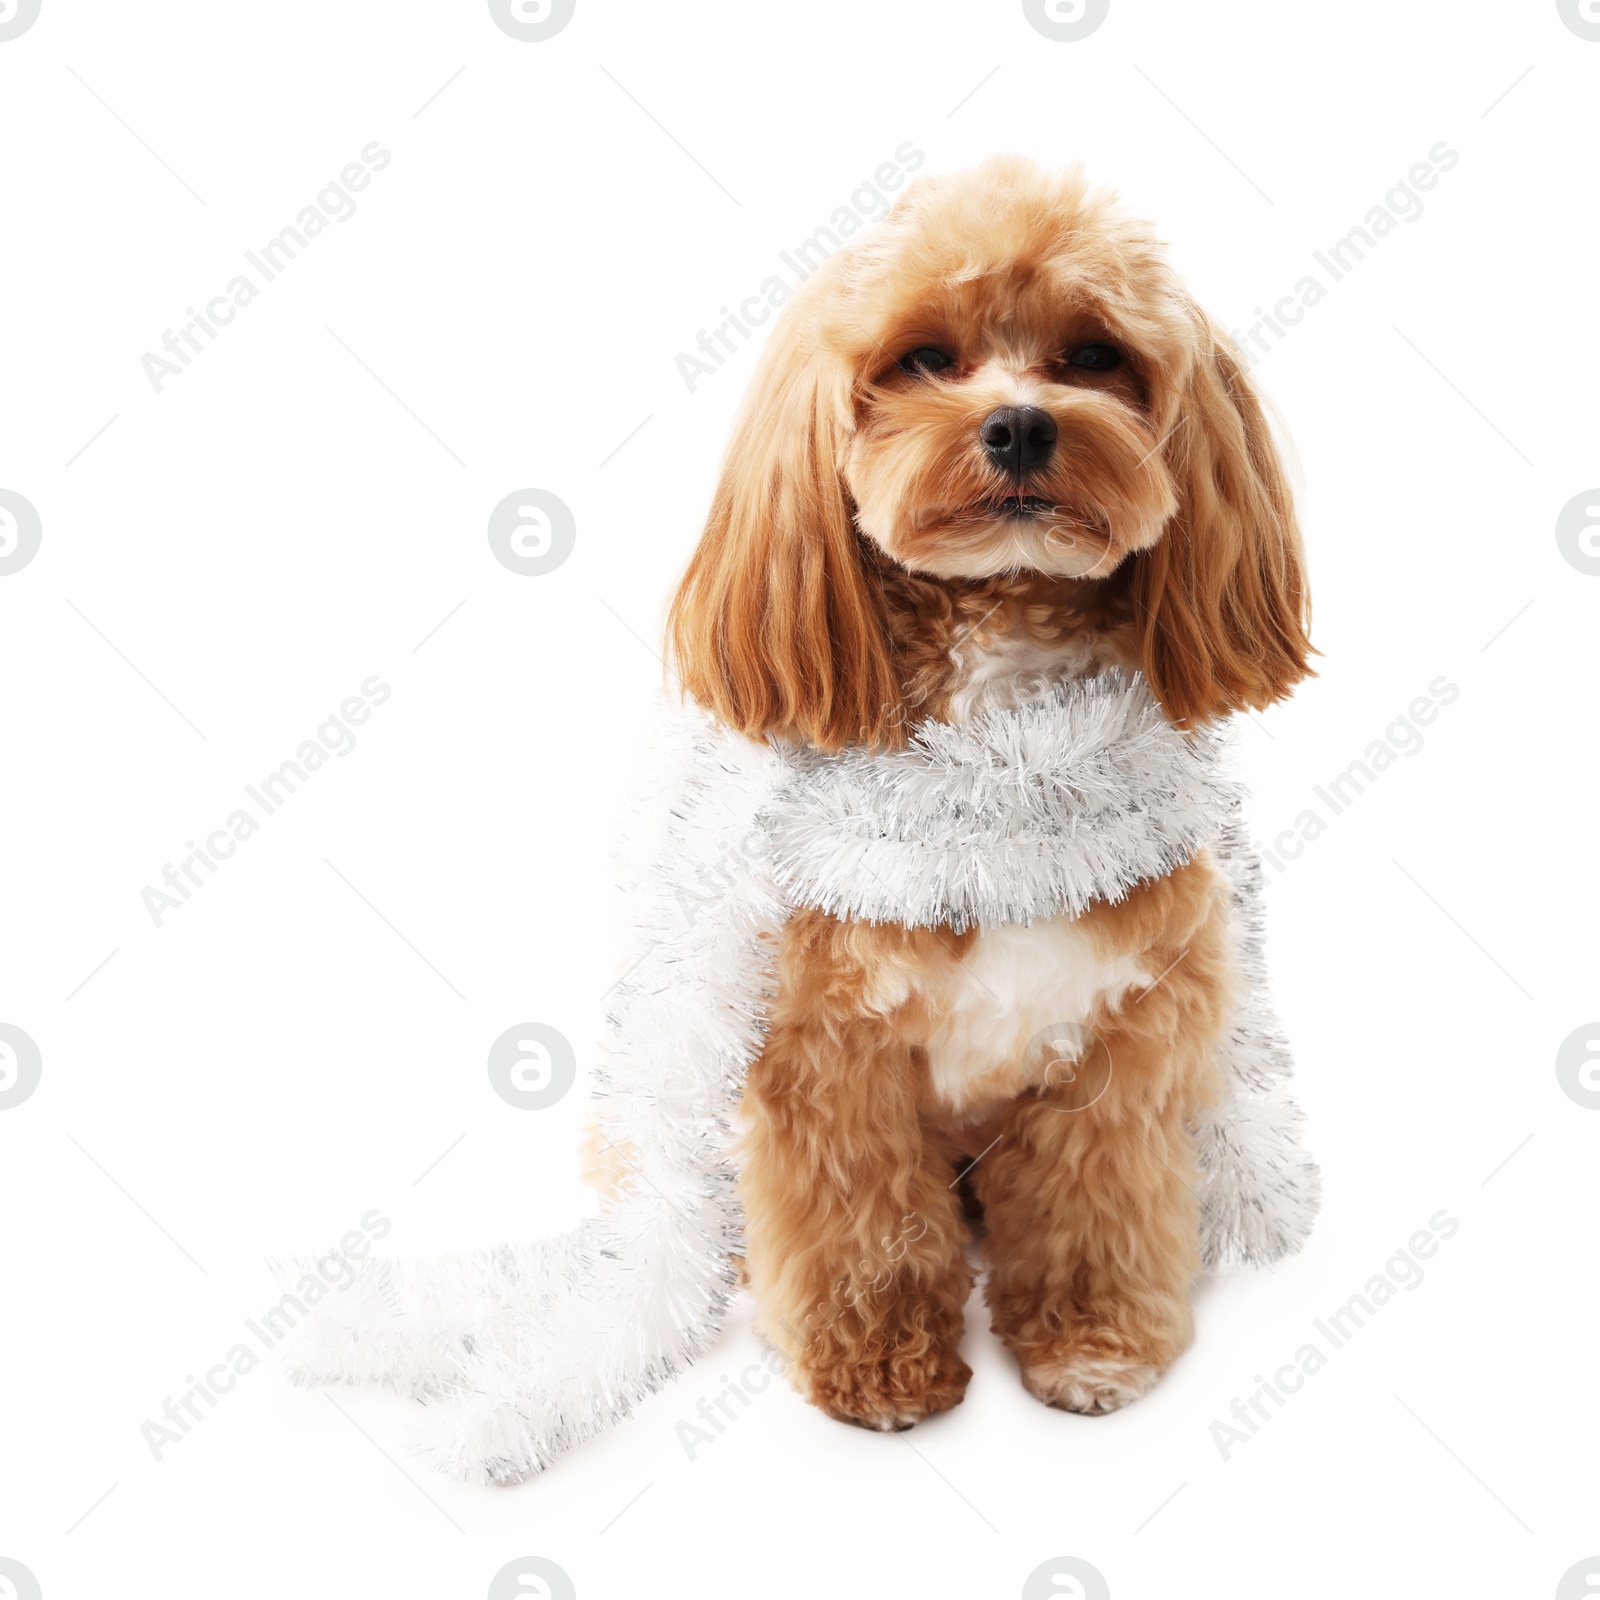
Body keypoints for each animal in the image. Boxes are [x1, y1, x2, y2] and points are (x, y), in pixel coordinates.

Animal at [662, 156, 1312, 1433]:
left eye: (1093, 354)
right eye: (923, 358)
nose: (1018, 422)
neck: (1001, 773)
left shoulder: (1123, 1041)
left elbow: (1096, 1206)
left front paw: (1095, 1342)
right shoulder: (828, 1058)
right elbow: (861, 1227)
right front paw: (878, 1365)